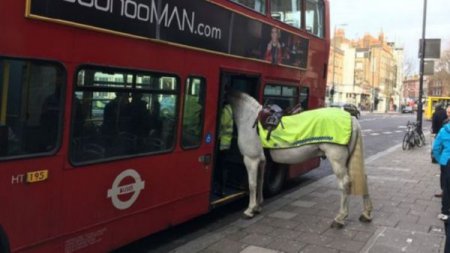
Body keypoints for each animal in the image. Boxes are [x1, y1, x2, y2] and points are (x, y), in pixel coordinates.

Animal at [229, 90, 372, 227]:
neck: (249, 119)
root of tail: (351, 118)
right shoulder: (262, 161)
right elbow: (260, 182)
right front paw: (258, 206)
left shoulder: (251, 159)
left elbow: (252, 184)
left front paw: (250, 210)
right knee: (363, 178)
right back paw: (366, 214)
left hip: (337, 160)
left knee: (344, 183)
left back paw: (340, 218)